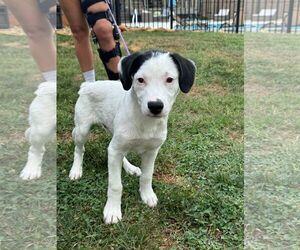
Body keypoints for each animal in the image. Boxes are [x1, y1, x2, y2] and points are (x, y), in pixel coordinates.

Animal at [70, 49, 197, 224]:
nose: (155, 106)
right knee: (79, 149)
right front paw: (112, 210)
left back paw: (130, 168)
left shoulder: (152, 151)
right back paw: (76, 170)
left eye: (170, 79)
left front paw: (147, 195)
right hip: (82, 129)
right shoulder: (116, 149)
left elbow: (147, 176)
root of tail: (88, 85)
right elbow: (115, 185)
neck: (145, 122)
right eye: (140, 80)